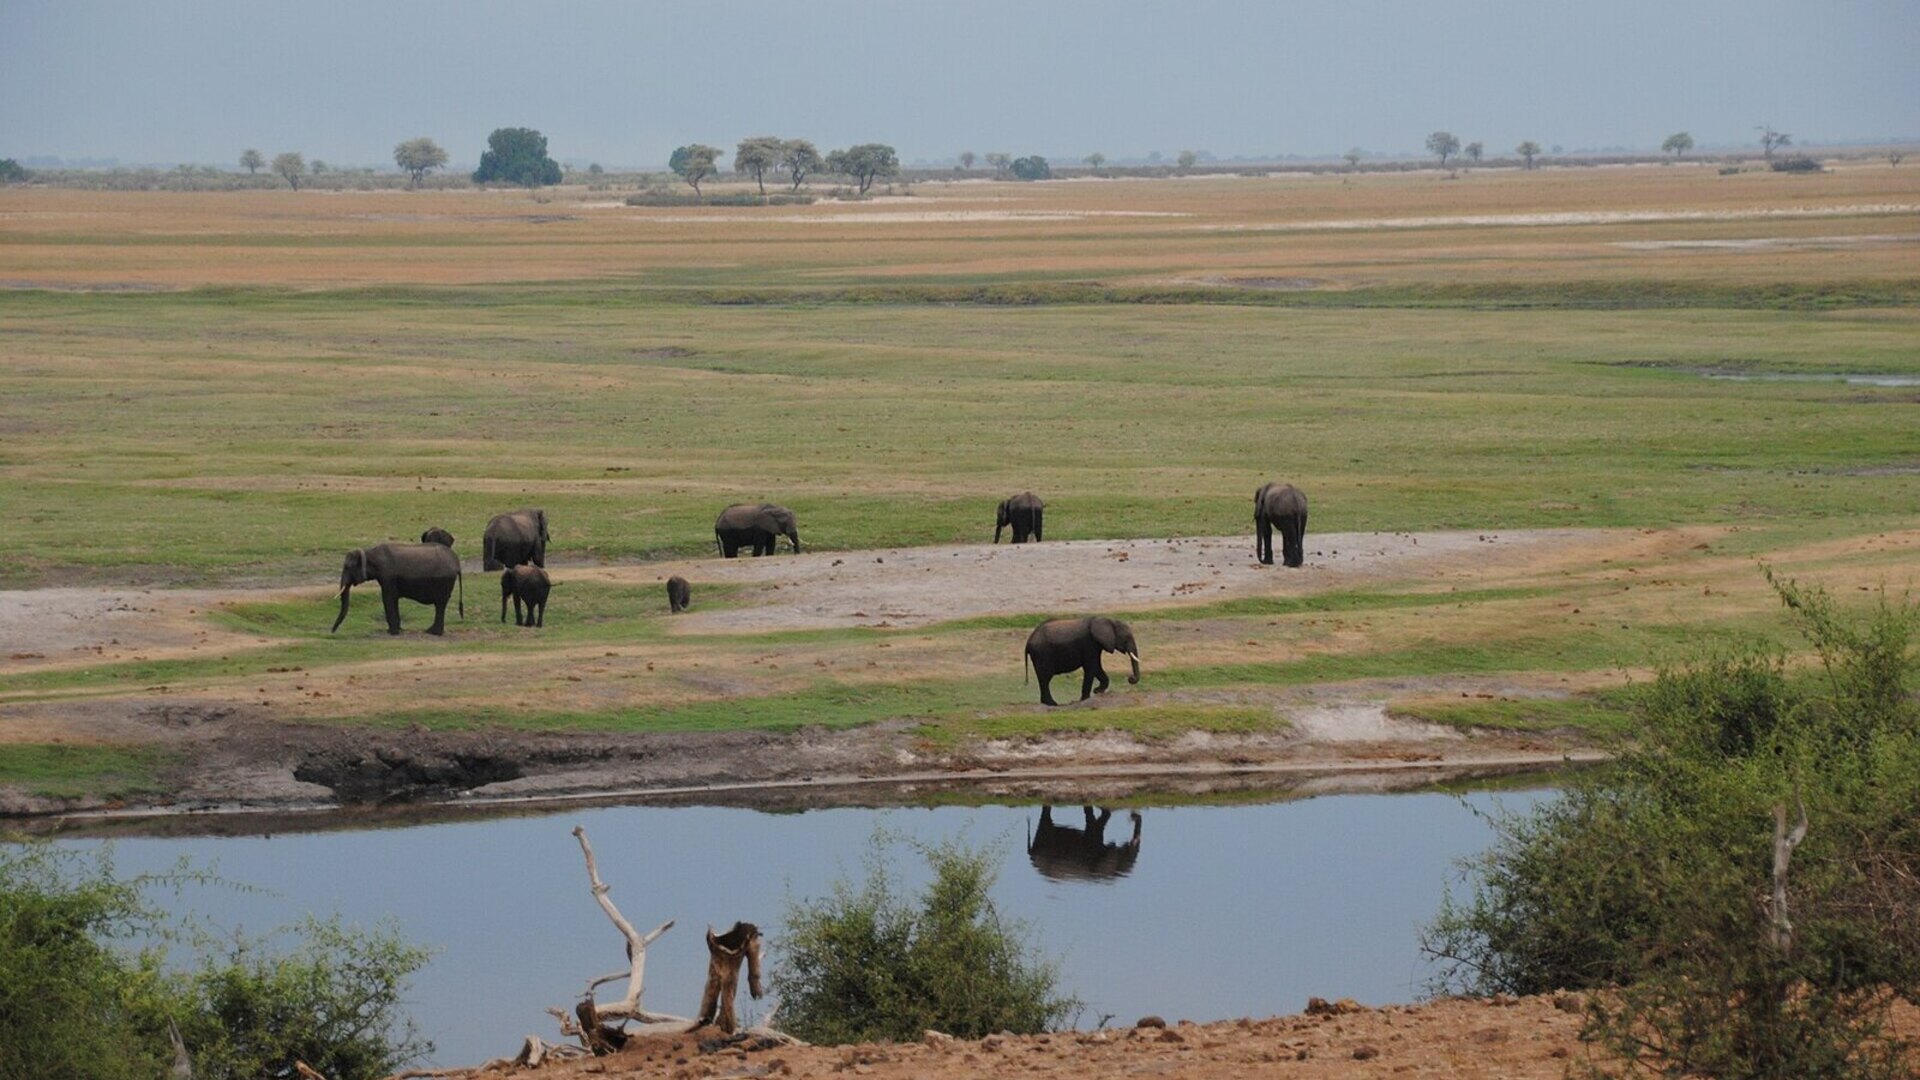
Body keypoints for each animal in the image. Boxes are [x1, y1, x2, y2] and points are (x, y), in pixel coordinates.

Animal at [331, 542, 464, 636]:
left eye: (347, 567)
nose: (332, 631)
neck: (369, 552)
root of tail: (457, 562)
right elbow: (393, 599)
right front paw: (398, 630)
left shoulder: (387, 576)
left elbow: (387, 598)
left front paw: (392, 632)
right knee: (441, 605)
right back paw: (431, 631)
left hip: (444, 580)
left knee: (440, 604)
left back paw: (433, 633)